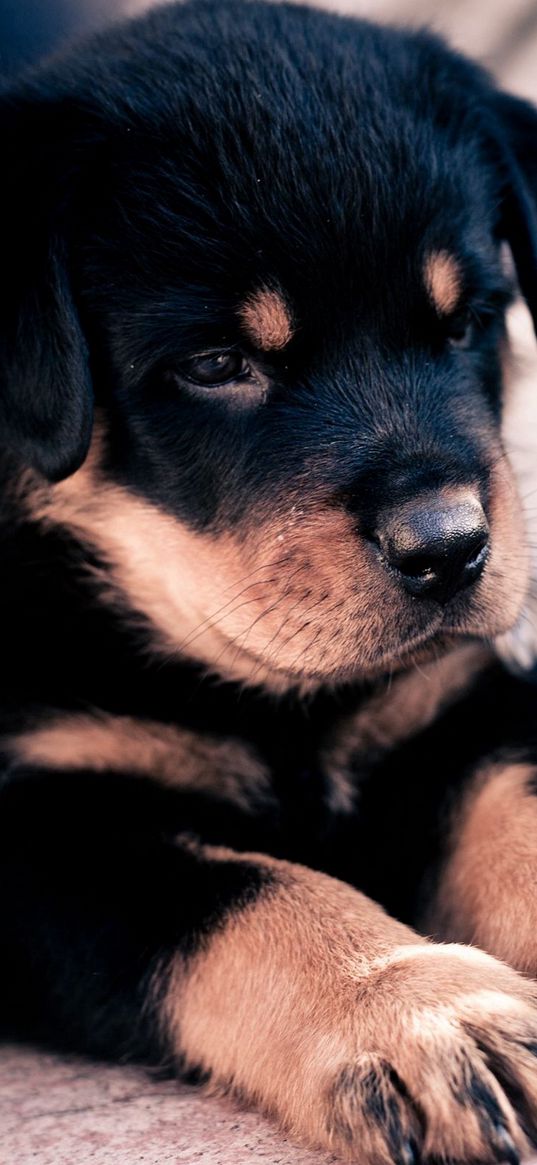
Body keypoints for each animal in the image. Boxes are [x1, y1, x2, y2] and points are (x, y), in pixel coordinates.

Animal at [3, 2, 535, 1165]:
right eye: (215, 365)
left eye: (467, 320)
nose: (450, 547)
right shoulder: (40, 825)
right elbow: (250, 892)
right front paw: (424, 1009)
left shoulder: (451, 703)